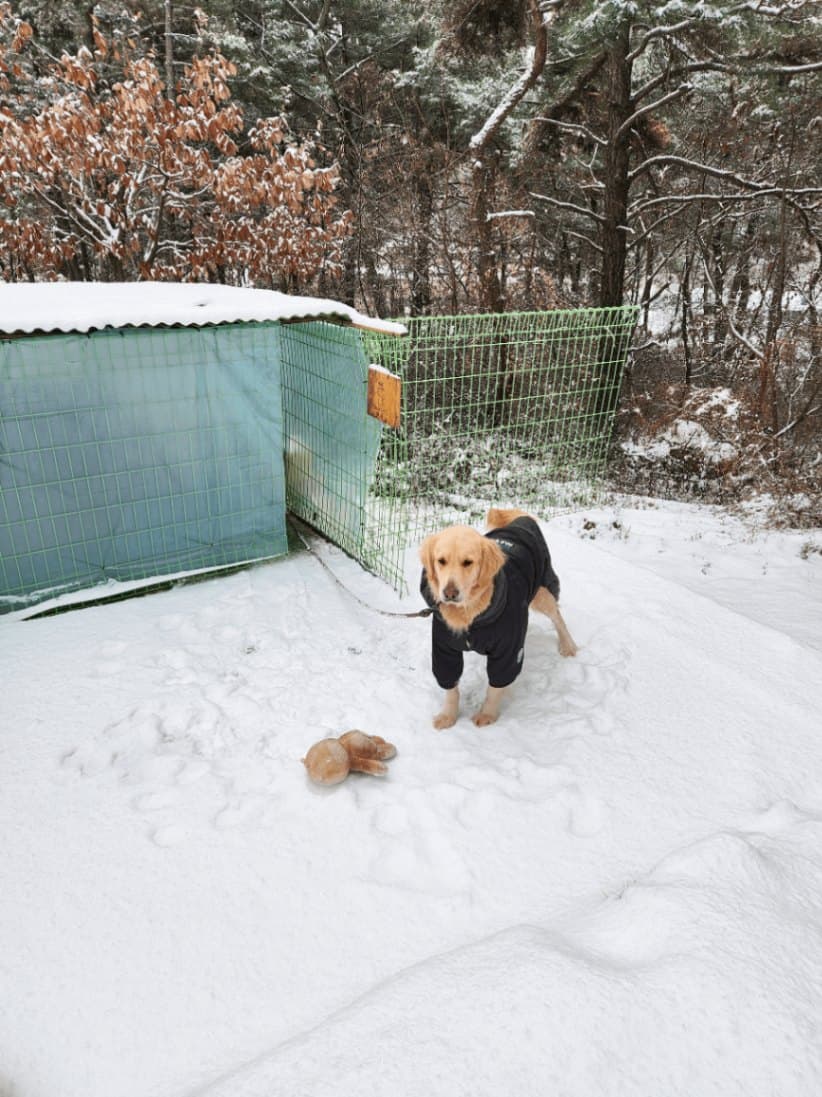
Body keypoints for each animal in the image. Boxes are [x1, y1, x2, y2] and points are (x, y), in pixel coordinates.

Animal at [419, 504, 575, 728]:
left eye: (468, 562)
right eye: (441, 561)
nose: (449, 593)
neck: (472, 615)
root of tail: (521, 520)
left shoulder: (509, 651)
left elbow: (496, 686)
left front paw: (487, 715)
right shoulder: (443, 649)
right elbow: (450, 686)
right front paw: (448, 716)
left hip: (542, 592)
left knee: (557, 617)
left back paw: (568, 645)